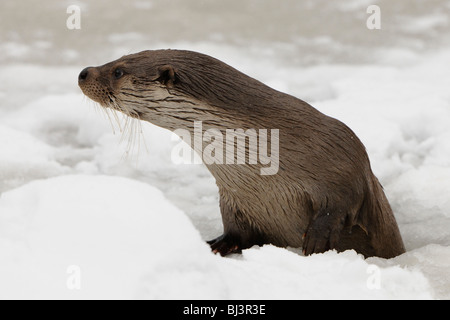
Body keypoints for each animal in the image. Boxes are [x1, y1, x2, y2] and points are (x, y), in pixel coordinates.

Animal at [79, 50, 406, 260]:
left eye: (118, 71)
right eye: (115, 59)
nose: (83, 72)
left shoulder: (341, 154)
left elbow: (344, 197)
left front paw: (317, 238)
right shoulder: (233, 197)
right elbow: (237, 231)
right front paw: (215, 245)